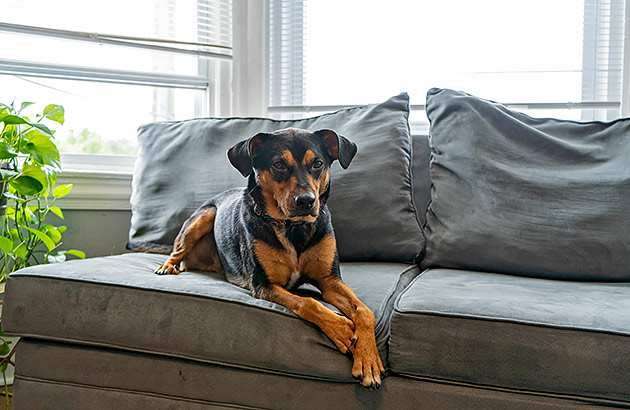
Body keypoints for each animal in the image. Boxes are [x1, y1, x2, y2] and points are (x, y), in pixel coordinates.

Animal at [156, 127, 388, 388]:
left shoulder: (330, 280)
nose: (306, 201)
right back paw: (167, 266)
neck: (292, 228)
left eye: (317, 164)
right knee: (177, 250)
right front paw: (341, 329)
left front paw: (369, 360)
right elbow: (308, 302)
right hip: (204, 216)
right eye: (278, 164)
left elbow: (364, 312)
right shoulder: (264, 285)